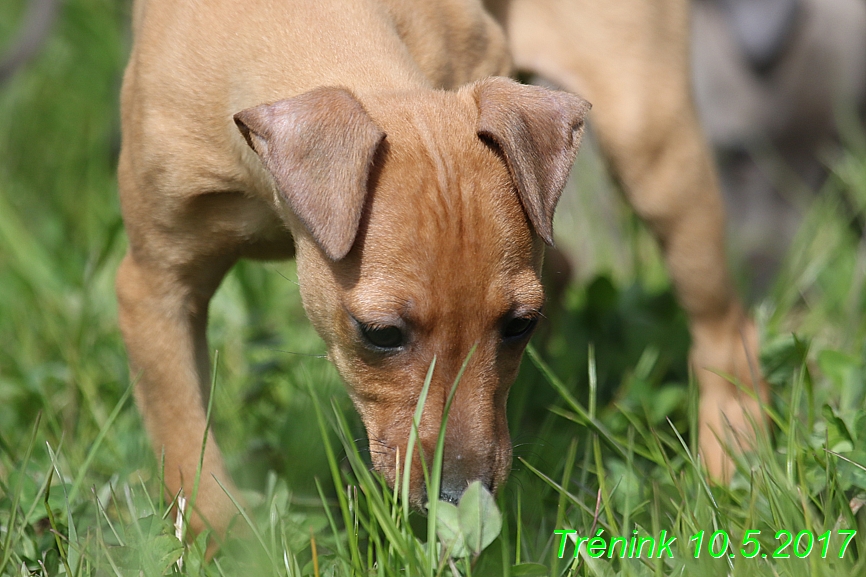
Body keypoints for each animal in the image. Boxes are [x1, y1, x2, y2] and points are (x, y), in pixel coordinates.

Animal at [113, 0, 764, 540]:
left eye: (518, 326)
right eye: (380, 334)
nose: (462, 497)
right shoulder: (153, 289)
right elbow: (184, 440)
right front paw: (223, 543)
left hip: (648, 138)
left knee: (726, 330)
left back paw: (733, 460)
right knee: (566, 263)